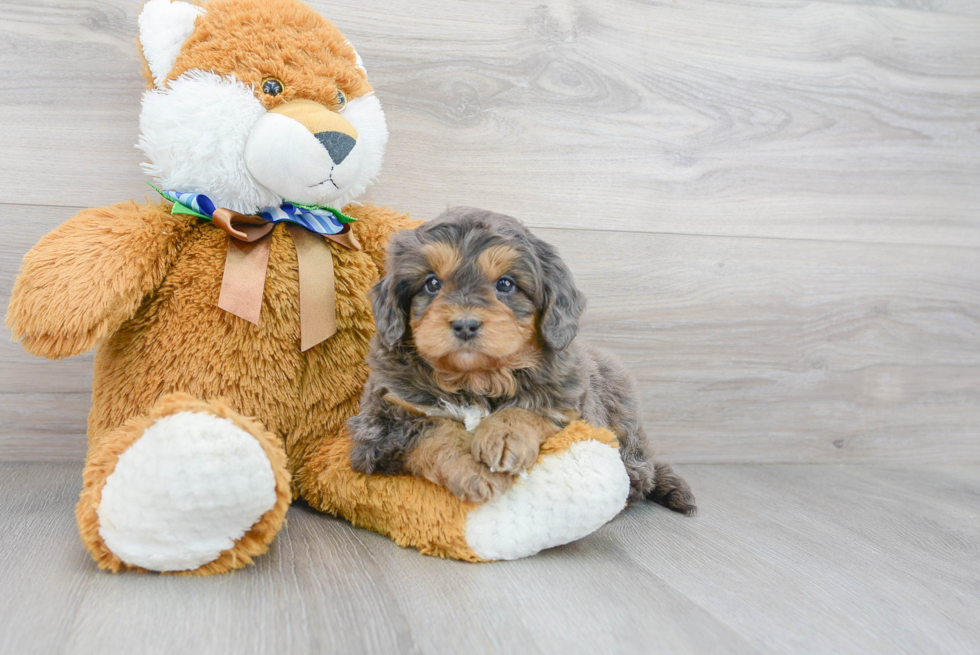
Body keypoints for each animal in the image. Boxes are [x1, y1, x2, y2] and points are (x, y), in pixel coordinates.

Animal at [348, 208, 692, 516]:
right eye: (432, 284)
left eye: (505, 284)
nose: (465, 324)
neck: (475, 379)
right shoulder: (381, 422)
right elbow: (436, 428)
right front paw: (474, 468)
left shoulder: (572, 407)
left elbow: (530, 409)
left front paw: (503, 437)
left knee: (641, 468)